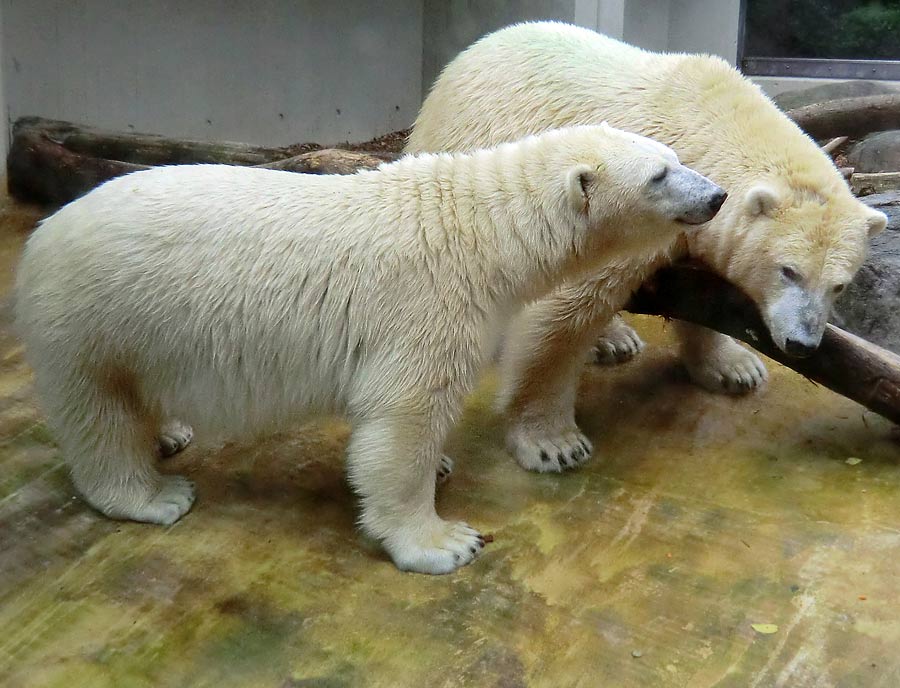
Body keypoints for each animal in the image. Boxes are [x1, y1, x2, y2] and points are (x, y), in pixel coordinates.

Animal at [17, 125, 728, 576]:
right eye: (661, 174)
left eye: (672, 154)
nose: (717, 194)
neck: (477, 231)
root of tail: (41, 236)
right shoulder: (425, 303)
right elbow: (403, 418)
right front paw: (444, 540)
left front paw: (442, 467)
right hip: (94, 317)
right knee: (99, 414)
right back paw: (155, 494)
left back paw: (168, 432)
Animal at [406, 21, 884, 472]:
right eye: (789, 270)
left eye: (839, 286)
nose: (802, 344)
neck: (708, 120)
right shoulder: (622, 206)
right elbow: (564, 310)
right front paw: (552, 443)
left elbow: (705, 295)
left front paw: (736, 368)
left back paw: (616, 340)